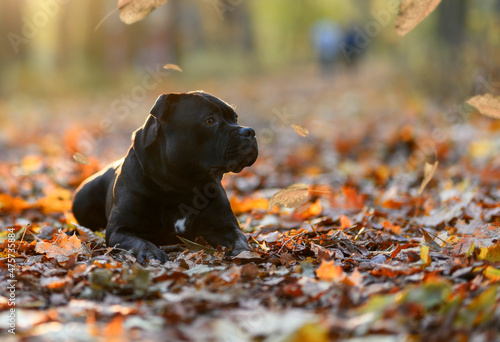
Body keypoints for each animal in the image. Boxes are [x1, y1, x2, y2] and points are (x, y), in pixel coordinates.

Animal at [72, 92, 258, 264]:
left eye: (235, 118)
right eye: (209, 121)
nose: (249, 131)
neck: (182, 185)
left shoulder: (224, 226)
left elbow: (239, 237)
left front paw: (242, 252)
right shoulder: (120, 230)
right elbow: (139, 241)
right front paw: (151, 253)